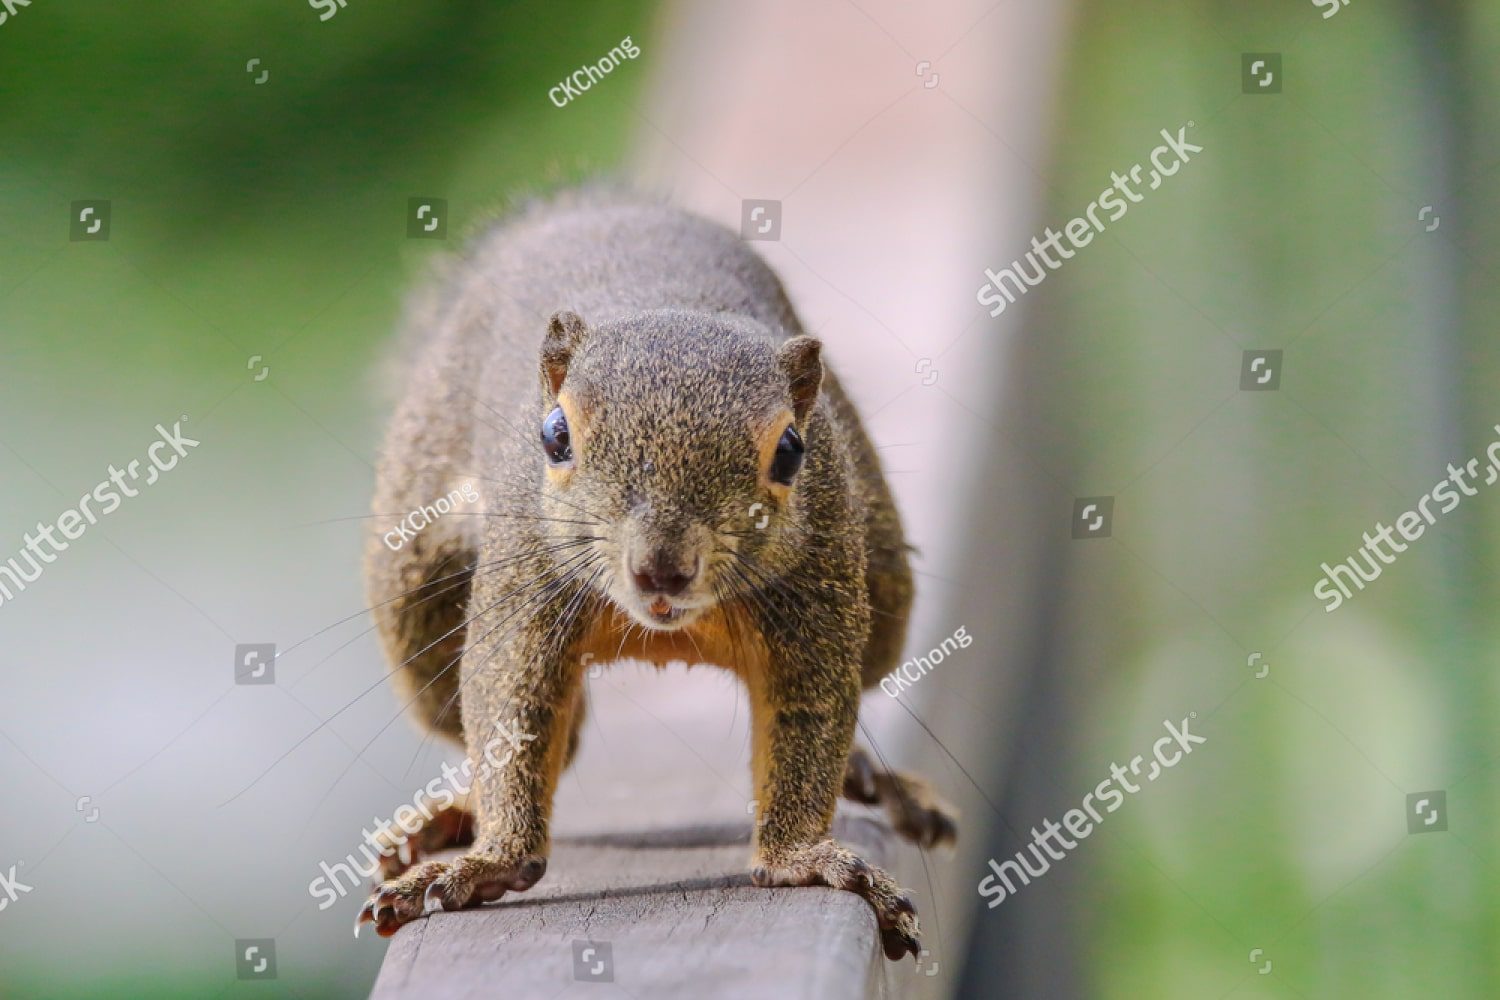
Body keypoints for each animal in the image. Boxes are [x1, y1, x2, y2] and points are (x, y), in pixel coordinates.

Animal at [357, 187, 957, 961]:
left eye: (792, 450)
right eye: (554, 436)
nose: (660, 569)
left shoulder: (818, 583)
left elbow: (811, 710)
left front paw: (800, 856)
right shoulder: (528, 570)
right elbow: (509, 700)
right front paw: (489, 861)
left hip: (884, 584)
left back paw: (875, 777)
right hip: (412, 577)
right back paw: (453, 818)